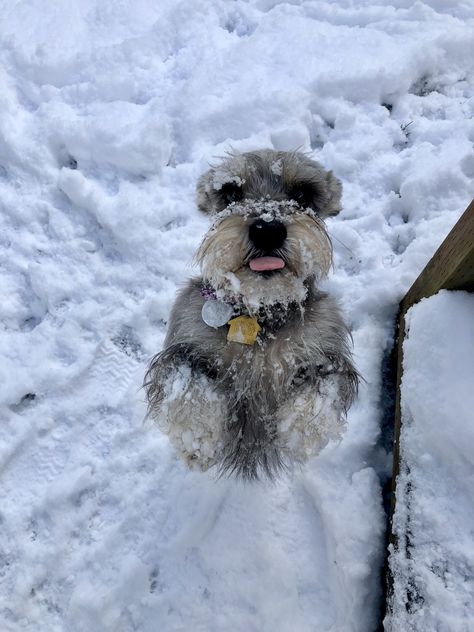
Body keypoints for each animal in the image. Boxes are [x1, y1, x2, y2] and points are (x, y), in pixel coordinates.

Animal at [145, 149, 360, 478]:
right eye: (230, 192)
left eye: (303, 193)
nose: (268, 230)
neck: (260, 312)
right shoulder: (185, 340)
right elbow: (187, 383)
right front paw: (197, 440)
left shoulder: (327, 349)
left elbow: (322, 388)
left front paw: (298, 435)